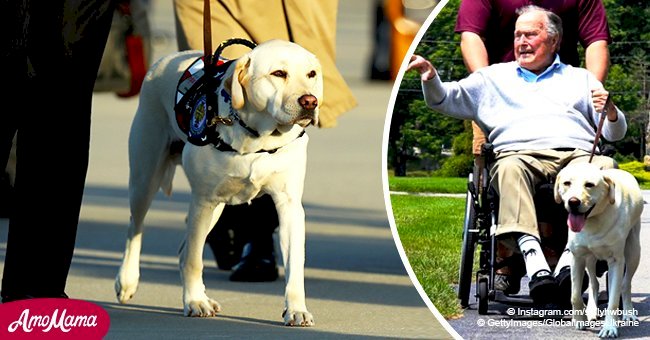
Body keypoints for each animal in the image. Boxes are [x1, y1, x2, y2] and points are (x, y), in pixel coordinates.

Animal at [556, 163, 640, 338]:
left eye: (589, 184)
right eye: (567, 183)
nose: (573, 202)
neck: (593, 221)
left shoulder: (616, 261)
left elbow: (613, 300)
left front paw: (609, 327)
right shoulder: (577, 257)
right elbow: (575, 295)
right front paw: (579, 319)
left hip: (634, 251)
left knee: (625, 284)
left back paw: (628, 312)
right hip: (590, 258)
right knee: (594, 282)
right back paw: (591, 310)